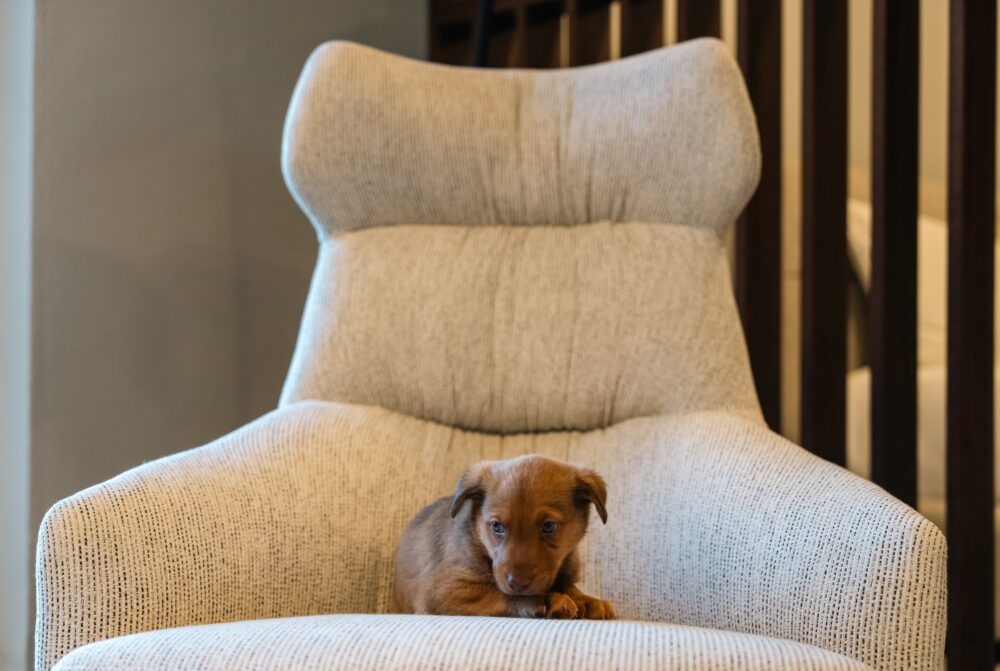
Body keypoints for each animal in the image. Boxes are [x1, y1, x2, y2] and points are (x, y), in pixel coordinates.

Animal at [392, 454, 612, 624]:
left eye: (549, 526)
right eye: (496, 527)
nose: (518, 583)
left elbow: (570, 586)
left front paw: (587, 600)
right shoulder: (443, 591)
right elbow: (498, 593)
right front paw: (547, 600)